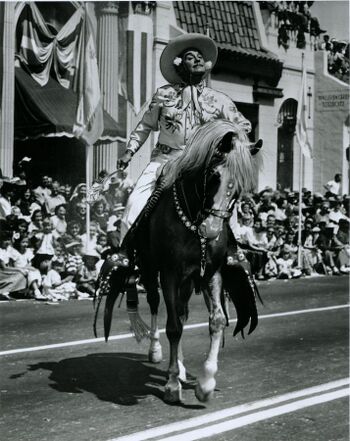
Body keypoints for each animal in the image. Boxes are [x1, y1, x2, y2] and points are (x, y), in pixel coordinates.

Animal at [95, 119, 262, 402]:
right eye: (214, 176)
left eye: (240, 187)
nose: (212, 229)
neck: (193, 220)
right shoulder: (170, 273)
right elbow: (172, 326)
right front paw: (173, 384)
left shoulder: (211, 273)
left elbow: (216, 321)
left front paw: (205, 382)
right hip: (151, 270)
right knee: (155, 305)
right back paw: (157, 352)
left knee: (182, 313)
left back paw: (183, 369)